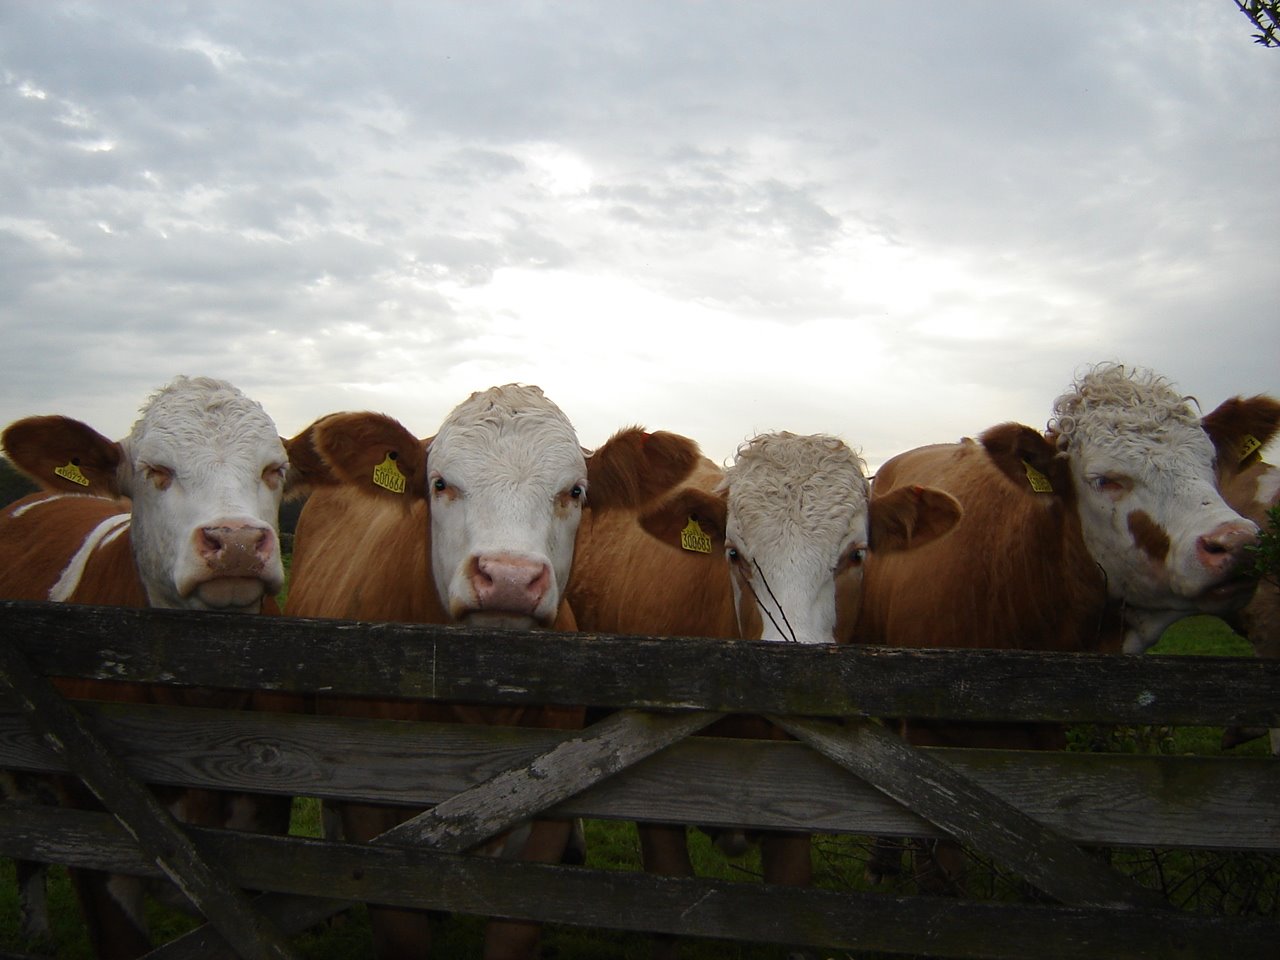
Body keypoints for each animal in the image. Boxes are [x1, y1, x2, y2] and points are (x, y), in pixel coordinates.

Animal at [282, 384, 703, 960]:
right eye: (440, 483)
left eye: (575, 491)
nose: (509, 578)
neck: (481, 706)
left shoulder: (549, 804)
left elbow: (513, 932)